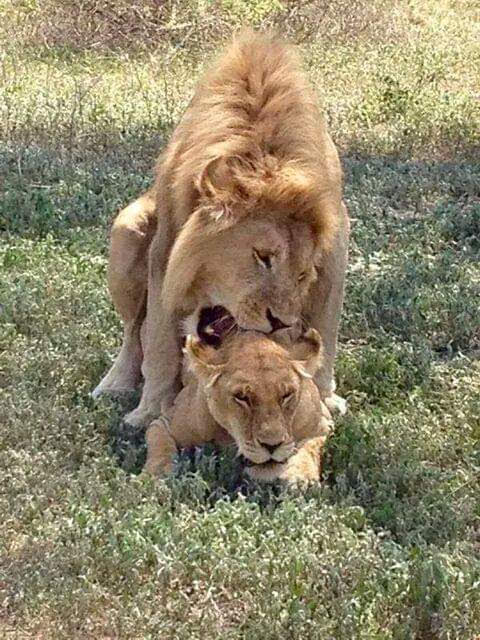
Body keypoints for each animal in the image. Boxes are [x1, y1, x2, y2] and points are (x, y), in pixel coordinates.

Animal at [92, 30, 349, 427]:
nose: (279, 323)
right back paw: (115, 384)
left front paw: (320, 403)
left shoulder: (336, 253)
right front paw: (149, 412)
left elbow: (326, 331)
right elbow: (159, 342)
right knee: (134, 332)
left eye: (302, 275)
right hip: (127, 229)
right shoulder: (165, 251)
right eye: (262, 256)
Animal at [143, 328, 332, 484]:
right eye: (242, 397)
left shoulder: (323, 423)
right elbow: (160, 444)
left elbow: (312, 445)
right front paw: (157, 475)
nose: (272, 445)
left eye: (286, 395)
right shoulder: (164, 423)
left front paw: (301, 476)